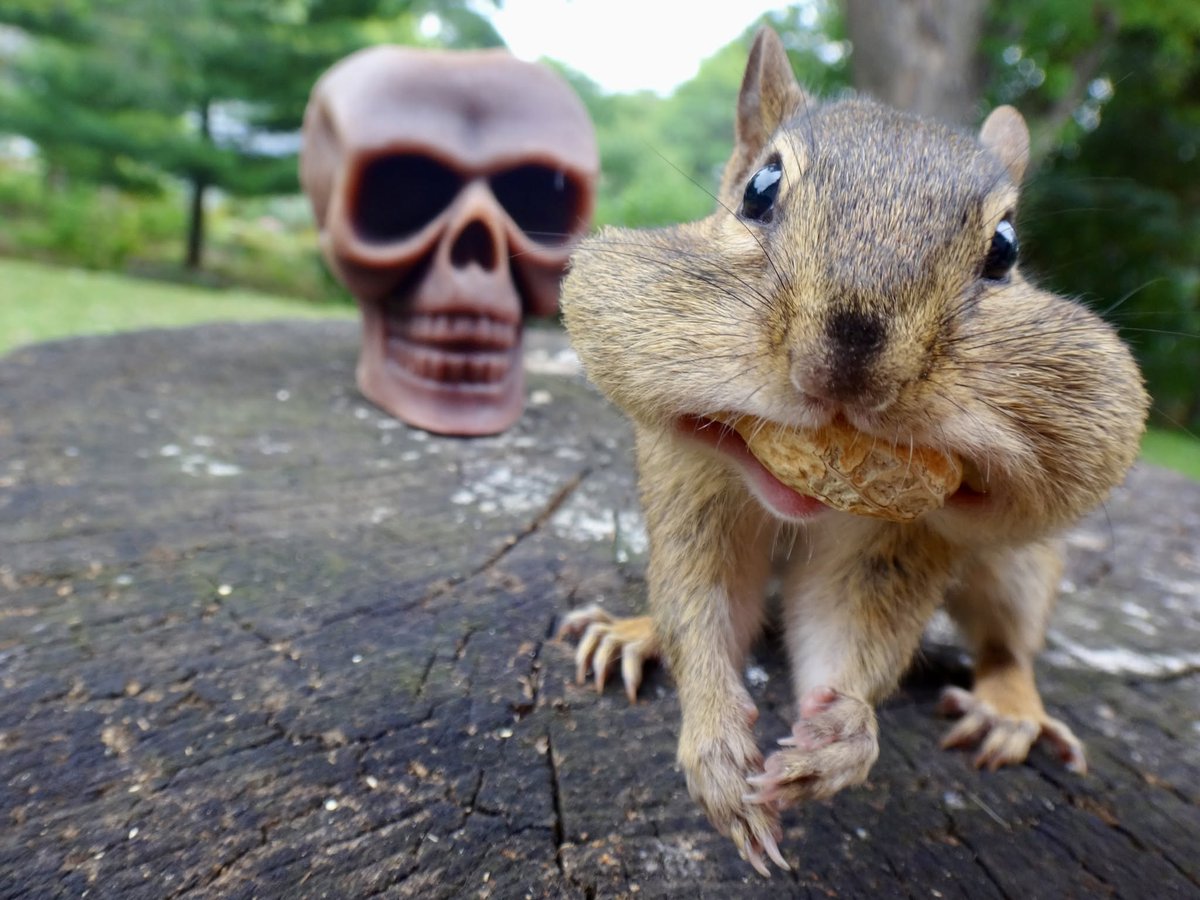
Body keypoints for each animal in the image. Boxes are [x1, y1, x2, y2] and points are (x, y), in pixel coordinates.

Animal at [556, 27, 1149, 876]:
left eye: (1005, 250)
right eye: (759, 189)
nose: (848, 353)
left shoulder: (907, 536)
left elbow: (848, 629)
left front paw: (840, 738)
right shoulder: (689, 486)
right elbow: (702, 607)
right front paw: (715, 744)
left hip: (1017, 564)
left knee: (1010, 641)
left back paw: (1008, 710)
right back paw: (632, 633)